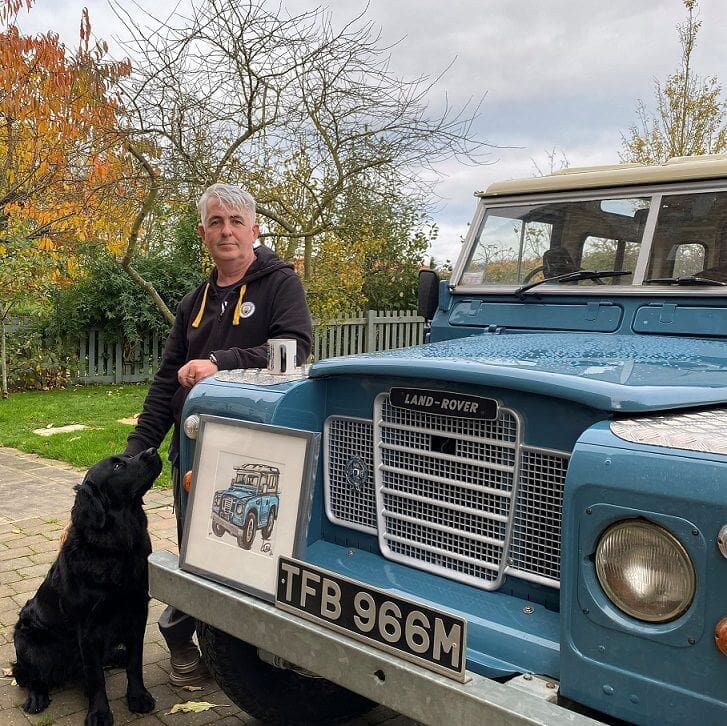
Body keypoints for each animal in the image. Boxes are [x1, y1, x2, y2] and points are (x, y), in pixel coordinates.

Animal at [12, 450, 162, 726]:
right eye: (118, 465)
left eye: (126, 456)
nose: (152, 451)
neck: (116, 548)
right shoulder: (87, 628)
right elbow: (95, 678)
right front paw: (99, 713)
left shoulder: (137, 612)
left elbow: (135, 663)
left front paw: (138, 697)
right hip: (27, 640)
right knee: (31, 676)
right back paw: (36, 698)